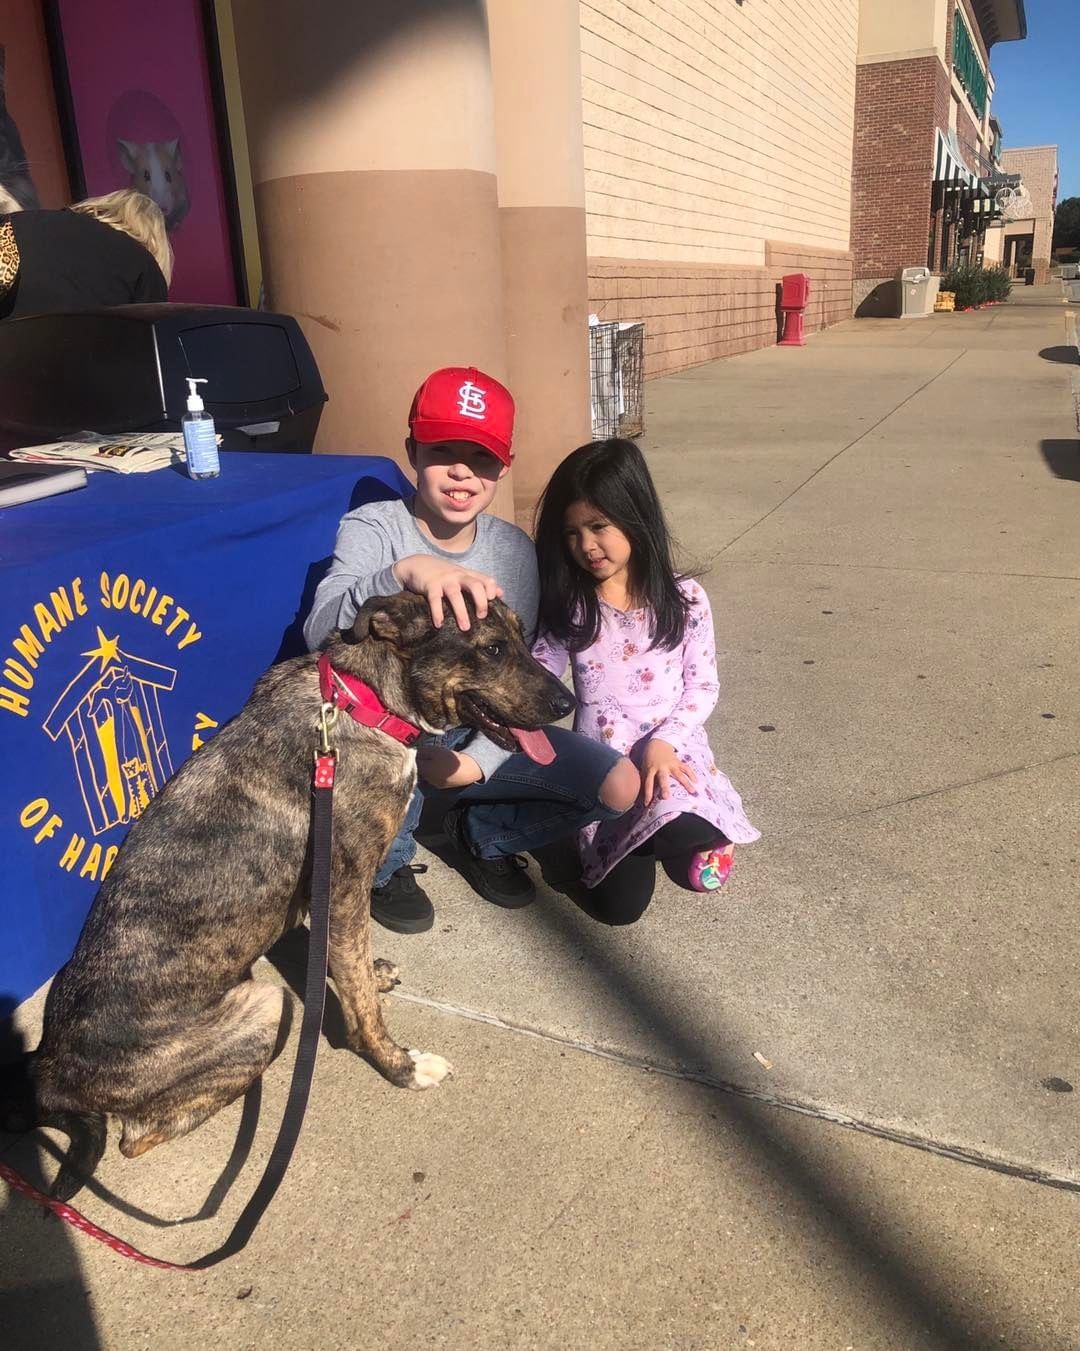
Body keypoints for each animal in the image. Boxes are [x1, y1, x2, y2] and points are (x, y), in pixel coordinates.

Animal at [2, 591, 573, 1194]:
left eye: (522, 637)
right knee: (136, 1136)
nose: (567, 703)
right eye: (491, 649)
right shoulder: (346, 884)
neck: (363, 704)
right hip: (265, 1006)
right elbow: (361, 998)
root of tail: (50, 1070)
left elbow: (348, 964)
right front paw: (400, 1066)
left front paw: (368, 977)